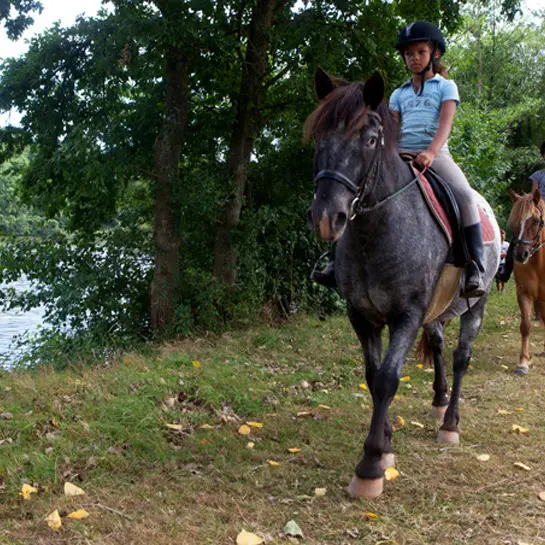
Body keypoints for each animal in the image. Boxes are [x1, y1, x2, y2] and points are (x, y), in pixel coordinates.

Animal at [304, 70, 500, 500]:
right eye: (319, 138)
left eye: (370, 139)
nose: (328, 218)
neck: (379, 230)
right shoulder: (361, 316)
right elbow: (371, 375)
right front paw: (387, 443)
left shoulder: (406, 315)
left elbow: (388, 379)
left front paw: (371, 465)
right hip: (437, 311)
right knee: (440, 346)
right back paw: (439, 402)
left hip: (475, 305)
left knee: (461, 357)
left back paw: (450, 423)